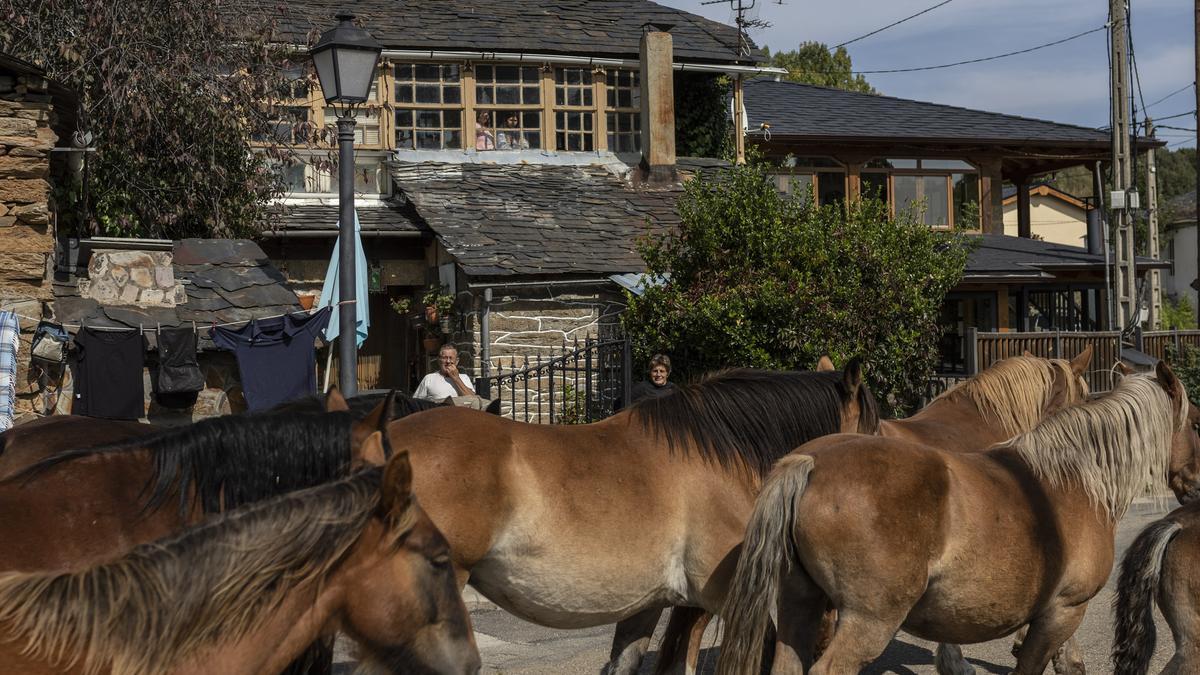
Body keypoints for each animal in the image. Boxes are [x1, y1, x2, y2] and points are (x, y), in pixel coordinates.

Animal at [715, 362, 1195, 672]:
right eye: (1195, 424)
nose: (1196, 486)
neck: (1072, 477)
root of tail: (810, 462)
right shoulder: (1062, 612)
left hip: (800, 605)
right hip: (867, 622)